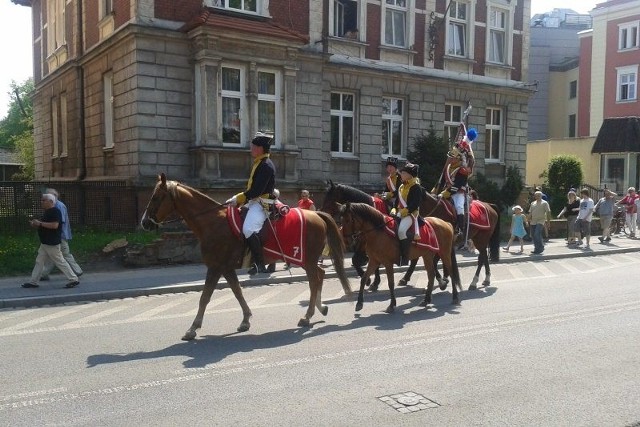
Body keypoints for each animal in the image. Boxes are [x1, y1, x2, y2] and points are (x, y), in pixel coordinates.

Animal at [140, 174, 352, 342]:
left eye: (156, 197)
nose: (144, 223)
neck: (212, 222)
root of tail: (317, 214)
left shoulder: (215, 267)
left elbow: (205, 297)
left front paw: (193, 328)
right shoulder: (226, 268)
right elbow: (237, 291)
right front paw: (245, 319)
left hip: (306, 260)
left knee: (314, 280)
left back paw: (308, 316)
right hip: (308, 260)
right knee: (320, 275)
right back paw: (320, 308)